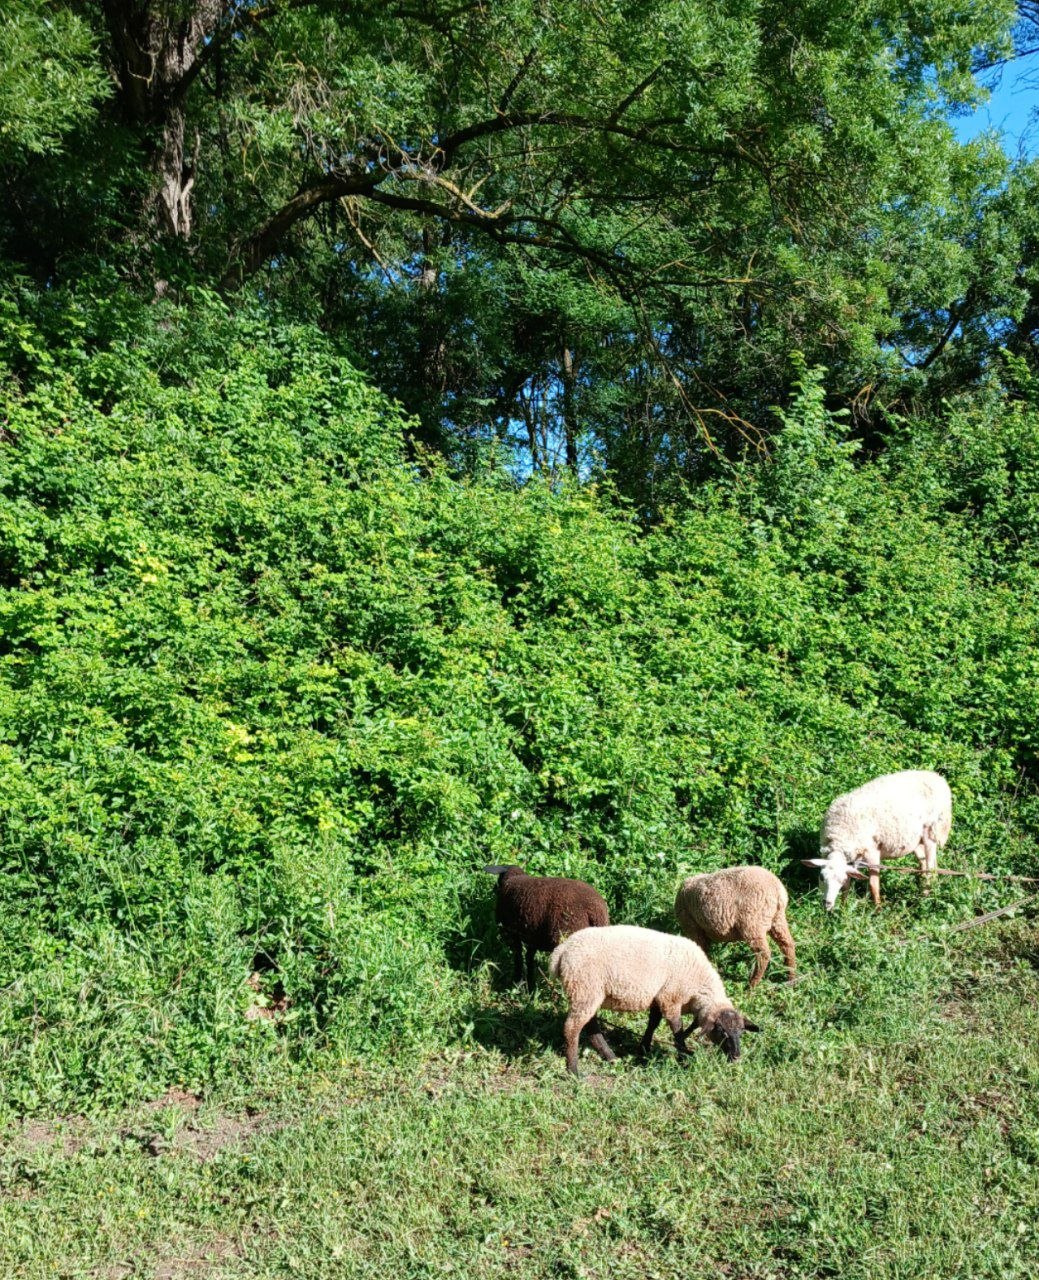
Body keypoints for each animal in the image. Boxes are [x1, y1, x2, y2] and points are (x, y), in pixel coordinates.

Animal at [548, 924, 759, 1075]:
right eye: (722, 1032)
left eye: (741, 1031)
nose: (736, 1057)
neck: (699, 985)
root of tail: (562, 950)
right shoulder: (670, 998)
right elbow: (677, 1028)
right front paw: (683, 1056)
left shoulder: (659, 998)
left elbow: (653, 1023)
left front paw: (644, 1049)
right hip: (584, 988)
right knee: (572, 1028)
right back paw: (574, 1070)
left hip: (589, 994)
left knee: (591, 1027)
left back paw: (610, 1057)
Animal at [803, 769, 953, 910]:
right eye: (821, 877)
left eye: (840, 879)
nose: (827, 904)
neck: (840, 841)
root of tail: (937, 778)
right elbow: (848, 884)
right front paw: (843, 908)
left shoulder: (872, 851)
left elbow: (873, 884)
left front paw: (877, 909)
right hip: (914, 839)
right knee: (925, 862)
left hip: (932, 831)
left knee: (931, 867)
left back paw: (925, 896)